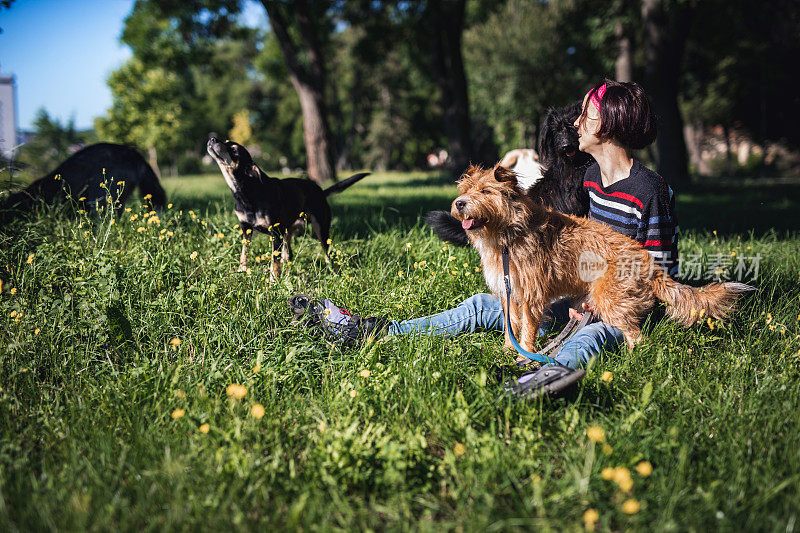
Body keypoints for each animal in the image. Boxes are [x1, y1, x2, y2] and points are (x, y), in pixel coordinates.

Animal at [206, 137, 368, 276]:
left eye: (234, 150)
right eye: (226, 141)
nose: (212, 139)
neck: (248, 192)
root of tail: (321, 191)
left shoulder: (274, 233)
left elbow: (274, 261)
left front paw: (273, 280)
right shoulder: (246, 229)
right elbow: (244, 252)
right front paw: (242, 270)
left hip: (321, 228)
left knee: (326, 252)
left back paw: (331, 269)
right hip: (287, 232)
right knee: (288, 253)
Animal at [454, 166, 752, 350]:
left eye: (485, 191)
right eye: (464, 190)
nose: (458, 203)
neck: (508, 234)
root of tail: (649, 264)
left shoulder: (530, 296)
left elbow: (526, 329)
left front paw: (523, 355)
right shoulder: (510, 294)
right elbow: (511, 326)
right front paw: (507, 350)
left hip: (608, 299)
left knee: (636, 336)